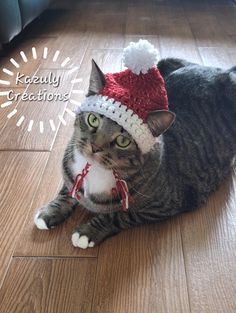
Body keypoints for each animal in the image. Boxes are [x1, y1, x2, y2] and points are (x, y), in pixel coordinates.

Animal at [34, 58, 236, 249]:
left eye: (123, 141)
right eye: (93, 120)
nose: (95, 147)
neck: (96, 171)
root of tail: (223, 71)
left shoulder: (162, 206)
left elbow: (120, 215)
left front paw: (88, 232)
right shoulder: (70, 170)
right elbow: (67, 190)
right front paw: (50, 212)